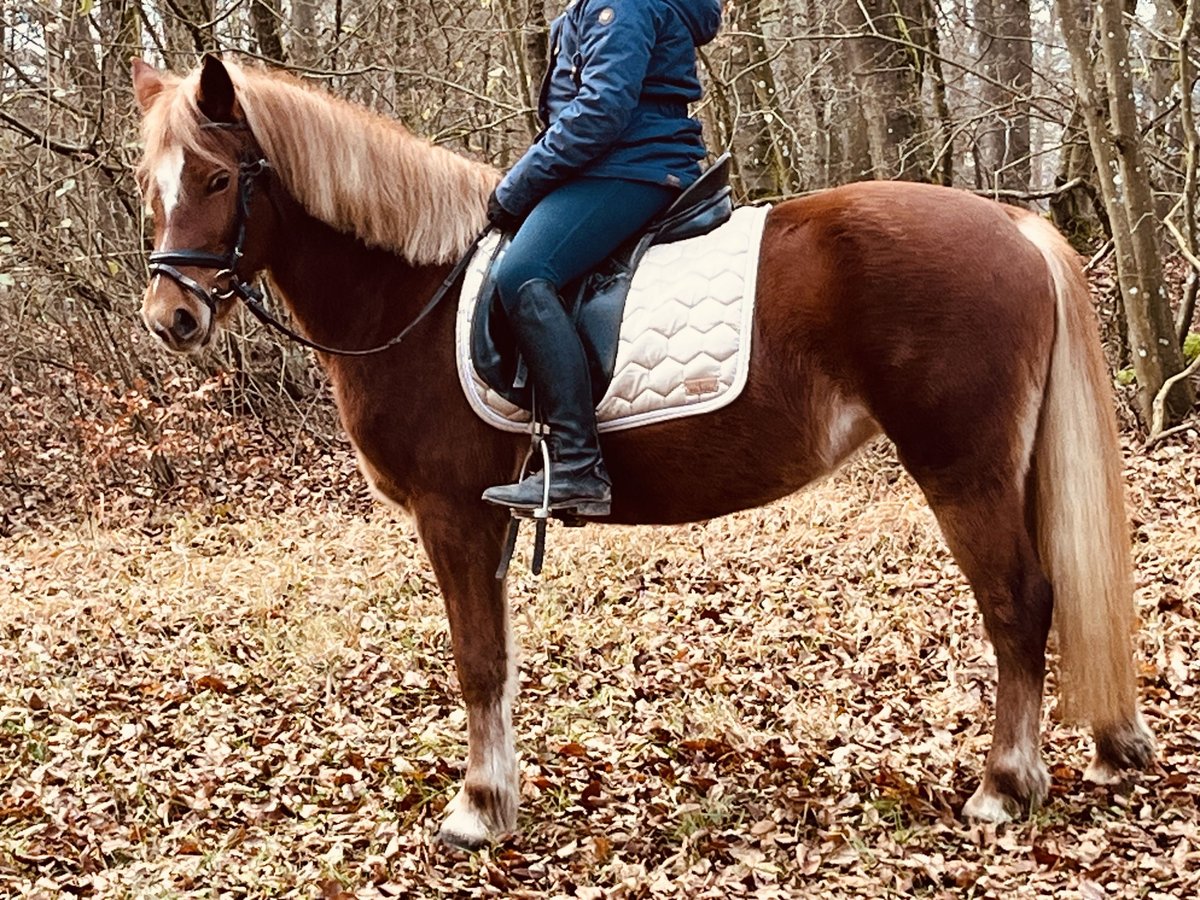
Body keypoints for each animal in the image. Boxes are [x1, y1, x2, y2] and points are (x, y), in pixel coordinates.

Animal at [131, 58, 1152, 854]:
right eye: (152, 185)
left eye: (217, 180)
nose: (170, 317)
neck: (416, 289)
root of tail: (1013, 226)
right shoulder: (490, 522)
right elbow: (500, 655)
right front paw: (499, 795)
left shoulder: (452, 513)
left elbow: (476, 660)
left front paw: (477, 810)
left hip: (963, 469)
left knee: (1020, 605)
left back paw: (1005, 786)